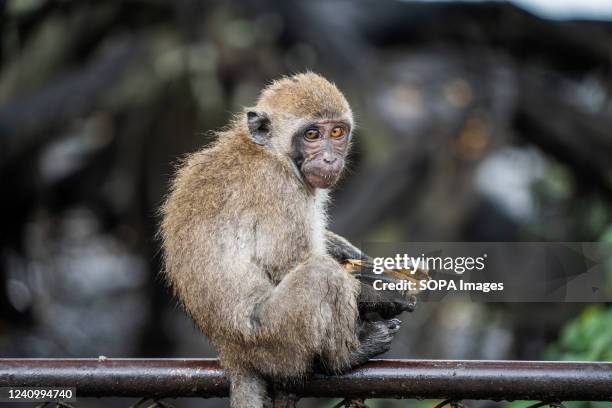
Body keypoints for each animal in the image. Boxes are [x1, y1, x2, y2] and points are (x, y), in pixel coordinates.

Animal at [163, 73, 408, 408]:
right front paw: (380, 294)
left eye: (336, 131)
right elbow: (287, 264)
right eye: (312, 134)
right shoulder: (278, 187)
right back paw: (345, 357)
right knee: (320, 274)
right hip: (273, 340)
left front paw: (356, 257)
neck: (271, 151)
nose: (330, 158)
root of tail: (231, 352)